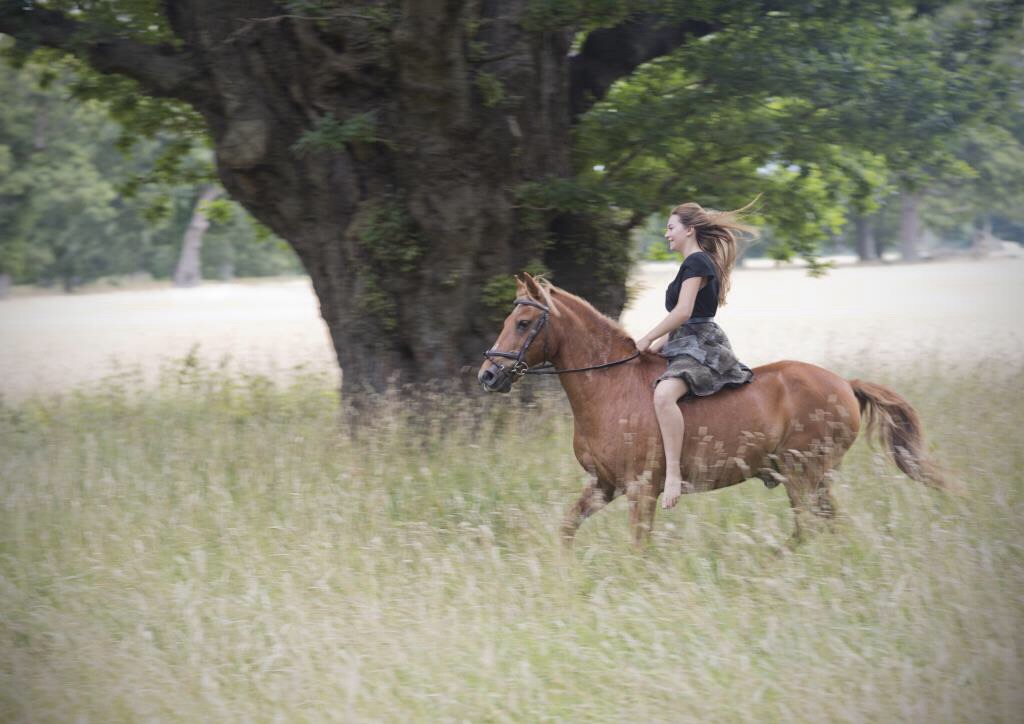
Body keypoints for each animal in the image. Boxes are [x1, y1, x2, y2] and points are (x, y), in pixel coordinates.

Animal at [478, 273, 952, 547]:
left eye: (523, 323)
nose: (488, 375)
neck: (610, 387)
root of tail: (846, 385)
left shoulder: (641, 489)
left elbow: (638, 547)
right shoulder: (603, 486)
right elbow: (566, 529)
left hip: (804, 474)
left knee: (811, 528)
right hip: (809, 478)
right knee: (824, 527)